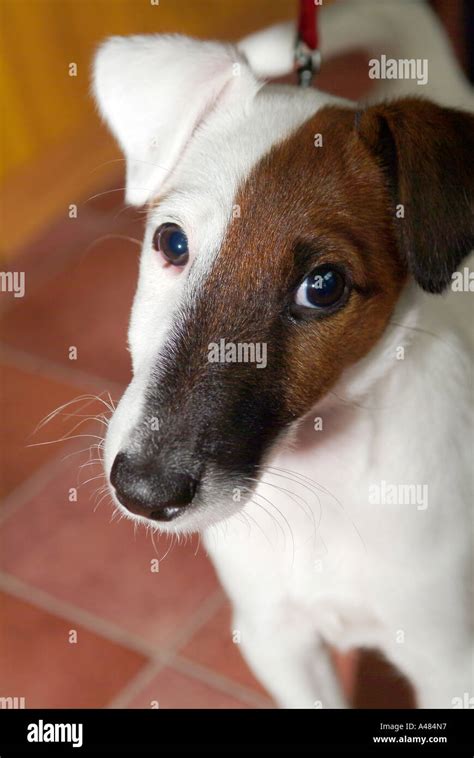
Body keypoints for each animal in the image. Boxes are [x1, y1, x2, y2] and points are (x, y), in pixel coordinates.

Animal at [90, 1, 472, 712]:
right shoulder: (275, 637)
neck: (325, 481)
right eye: (171, 242)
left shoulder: (450, 663)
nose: (144, 493)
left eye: (324, 287)